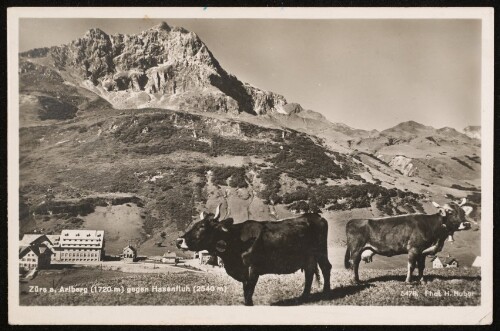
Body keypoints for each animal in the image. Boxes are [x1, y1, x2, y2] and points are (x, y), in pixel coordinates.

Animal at [176, 206, 332, 308]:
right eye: (195, 224)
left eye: (202, 226)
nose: (179, 240)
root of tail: (315, 216)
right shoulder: (243, 271)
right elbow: (245, 290)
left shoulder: (253, 268)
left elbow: (249, 290)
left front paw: (249, 304)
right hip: (309, 257)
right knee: (309, 272)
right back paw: (303, 297)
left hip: (321, 252)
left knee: (326, 267)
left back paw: (326, 293)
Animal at [346, 198, 474, 284]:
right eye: (451, 212)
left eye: (463, 212)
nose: (467, 224)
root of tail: (353, 221)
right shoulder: (414, 249)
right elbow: (411, 265)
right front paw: (408, 281)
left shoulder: (423, 252)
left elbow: (421, 267)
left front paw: (422, 281)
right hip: (356, 248)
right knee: (354, 263)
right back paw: (355, 281)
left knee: (355, 264)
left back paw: (357, 280)